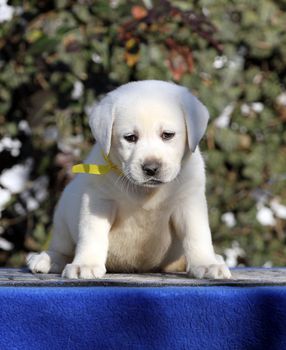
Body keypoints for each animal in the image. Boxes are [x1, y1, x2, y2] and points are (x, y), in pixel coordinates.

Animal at [26, 80, 231, 280]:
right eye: (130, 138)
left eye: (167, 135)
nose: (151, 168)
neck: (146, 192)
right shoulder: (99, 201)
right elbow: (92, 234)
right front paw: (85, 264)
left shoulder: (189, 203)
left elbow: (197, 235)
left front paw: (206, 264)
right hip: (63, 217)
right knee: (62, 249)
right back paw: (46, 259)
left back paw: (216, 259)